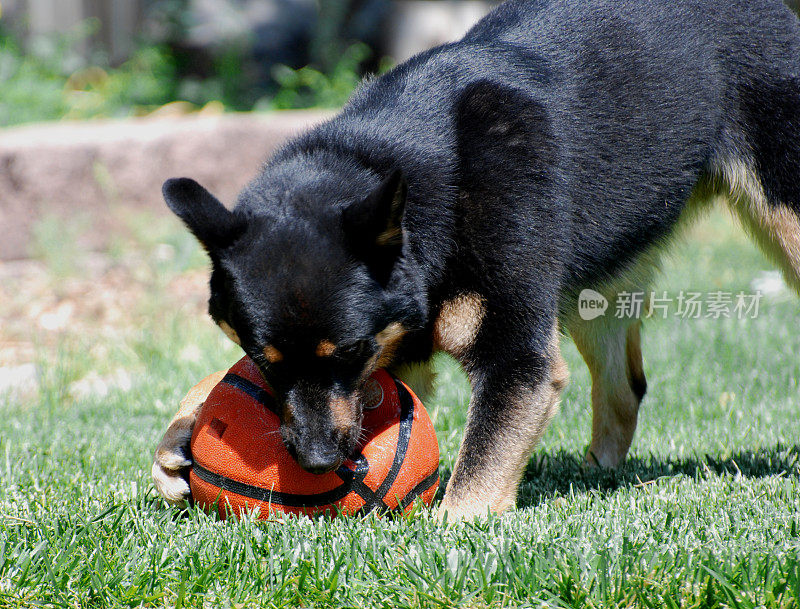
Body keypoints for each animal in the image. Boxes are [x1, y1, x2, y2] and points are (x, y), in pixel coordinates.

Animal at [150, 0, 800, 516]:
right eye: (262, 359)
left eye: (352, 351)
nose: (315, 462)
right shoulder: (404, 352)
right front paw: (181, 433)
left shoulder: (514, 357)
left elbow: (479, 469)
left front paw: (451, 533)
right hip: (593, 282)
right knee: (625, 387)